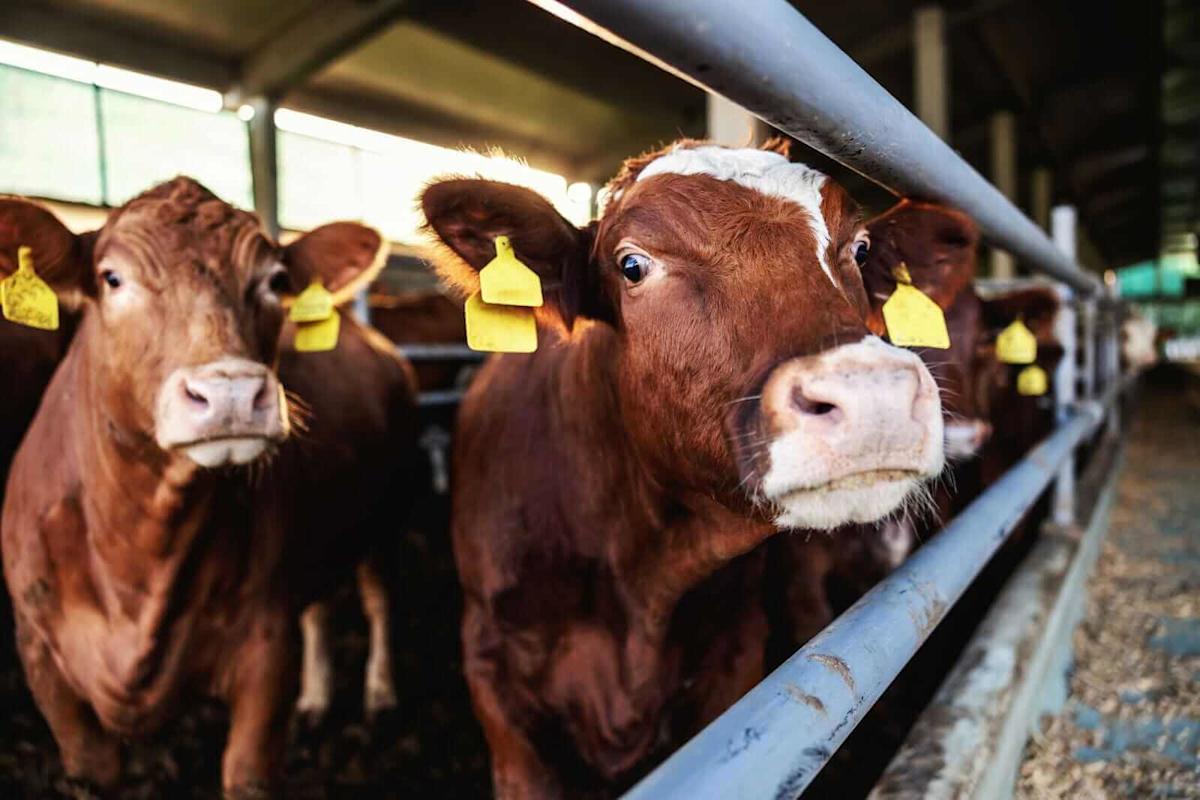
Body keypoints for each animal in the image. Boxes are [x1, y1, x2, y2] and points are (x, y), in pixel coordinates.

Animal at [0, 178, 418, 797]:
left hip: (388, 507)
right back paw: (316, 702)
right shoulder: (44, 665)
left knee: (379, 596)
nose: (231, 394)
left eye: (275, 281)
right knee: (321, 607)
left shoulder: (266, 651)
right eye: (112, 278)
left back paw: (381, 695)